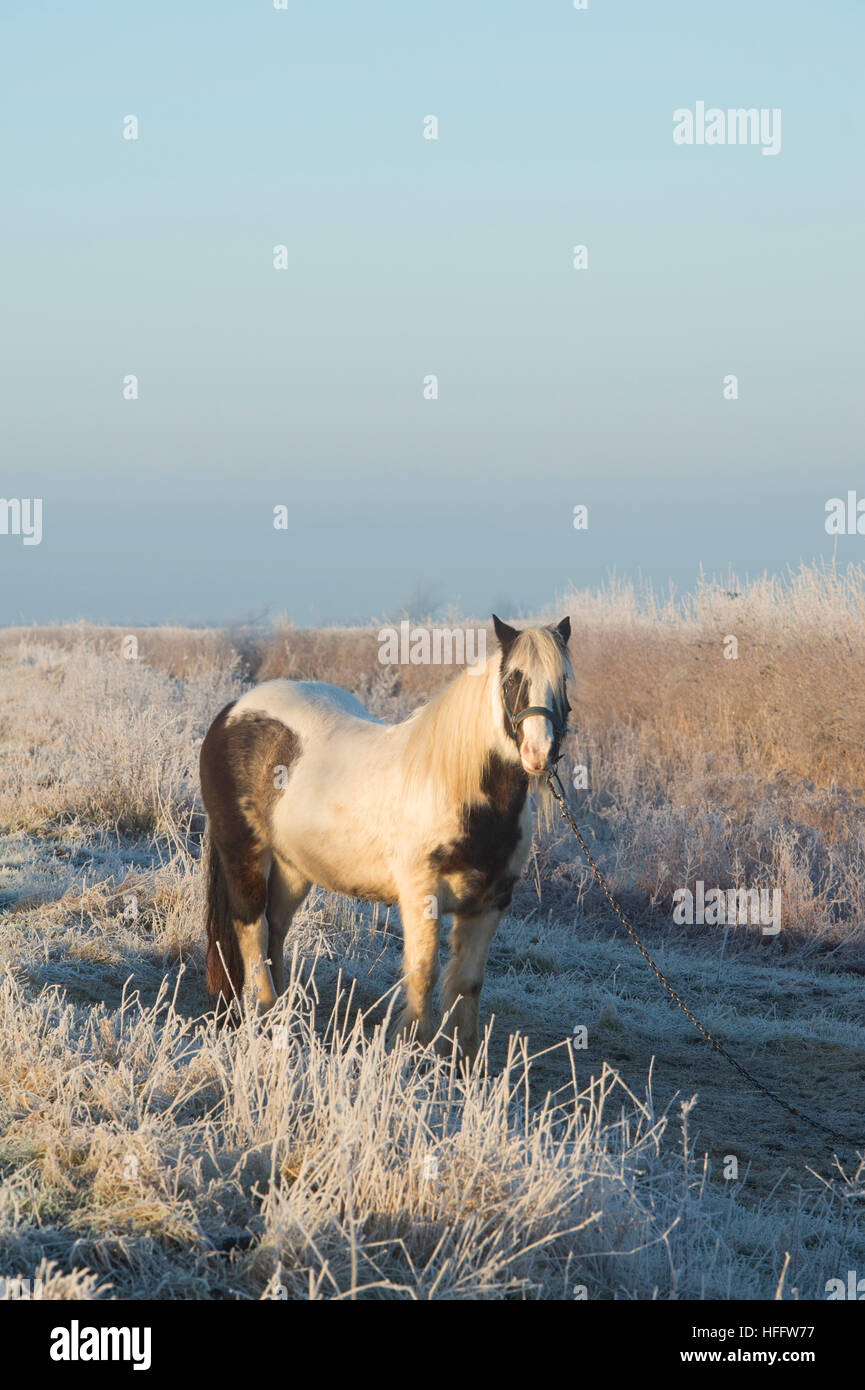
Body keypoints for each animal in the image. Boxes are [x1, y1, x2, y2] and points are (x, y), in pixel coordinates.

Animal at [198, 614, 572, 1056]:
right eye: (514, 678)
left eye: (563, 679)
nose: (539, 753)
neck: (456, 787)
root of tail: (232, 711)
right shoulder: (421, 894)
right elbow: (423, 973)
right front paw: (412, 1049)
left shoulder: (490, 902)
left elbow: (467, 984)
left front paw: (460, 1059)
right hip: (245, 854)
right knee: (251, 929)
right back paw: (268, 1014)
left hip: (293, 868)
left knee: (275, 929)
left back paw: (288, 1014)